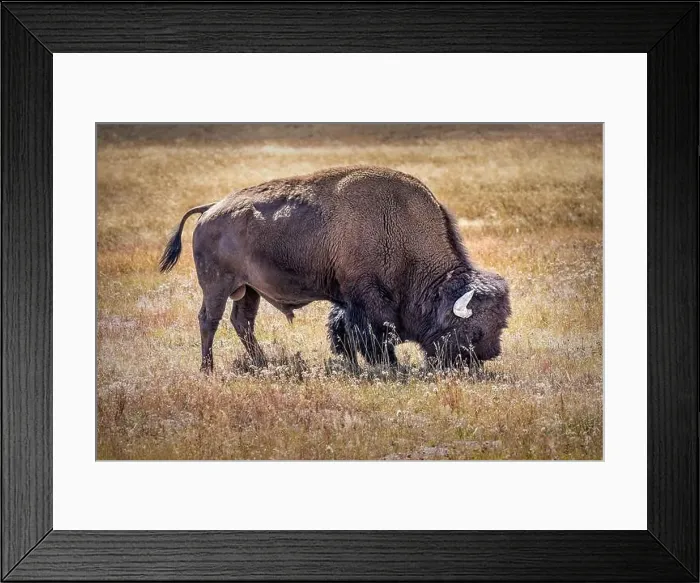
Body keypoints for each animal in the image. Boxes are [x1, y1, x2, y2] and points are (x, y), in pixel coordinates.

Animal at [159, 166, 510, 372]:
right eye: (474, 328)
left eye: (500, 324)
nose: (487, 355)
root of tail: (210, 209)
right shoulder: (366, 299)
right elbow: (372, 334)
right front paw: (388, 367)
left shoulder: (347, 300)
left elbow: (342, 330)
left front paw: (353, 364)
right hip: (217, 286)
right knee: (209, 320)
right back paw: (208, 369)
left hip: (248, 291)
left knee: (242, 322)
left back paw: (262, 363)